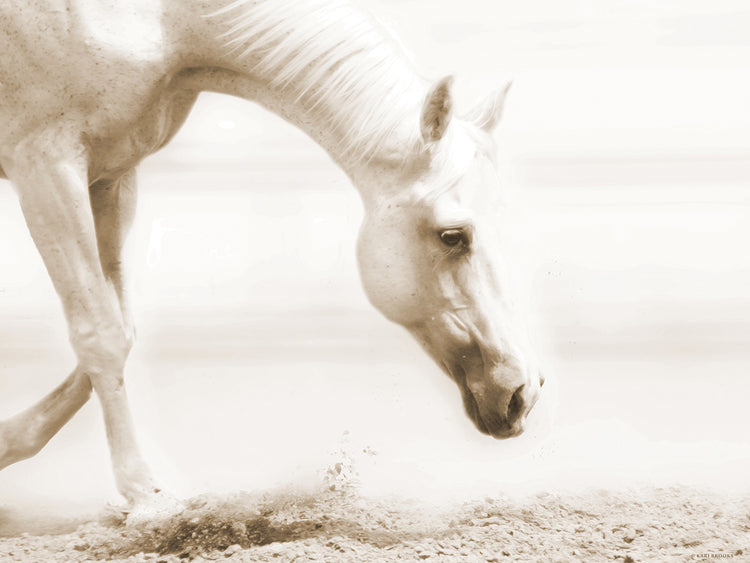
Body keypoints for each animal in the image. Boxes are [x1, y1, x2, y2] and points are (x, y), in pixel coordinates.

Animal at [0, 0, 543, 510]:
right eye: (453, 236)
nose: (523, 393)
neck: (165, 21)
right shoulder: (46, 164)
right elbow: (100, 334)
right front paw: (146, 498)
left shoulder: (111, 175)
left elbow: (119, 328)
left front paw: (8, 442)